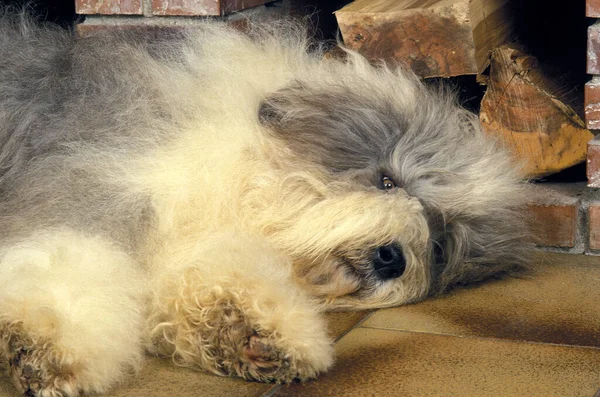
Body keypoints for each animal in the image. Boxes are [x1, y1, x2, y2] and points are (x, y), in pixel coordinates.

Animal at [0, 12, 528, 396]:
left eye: (438, 242)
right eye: (386, 180)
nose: (392, 258)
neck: (243, 168)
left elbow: (211, 274)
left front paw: (247, 327)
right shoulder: (89, 189)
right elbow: (69, 261)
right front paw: (43, 343)